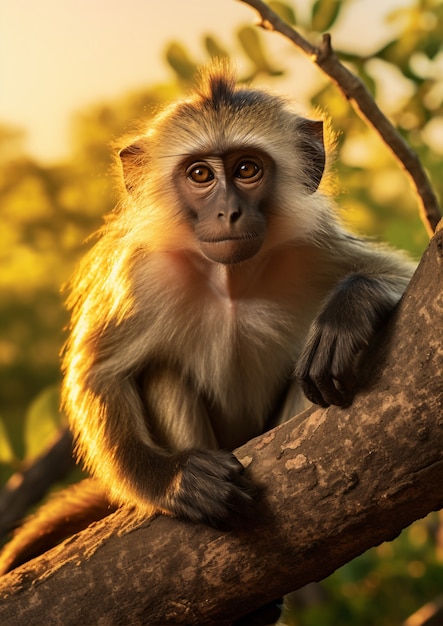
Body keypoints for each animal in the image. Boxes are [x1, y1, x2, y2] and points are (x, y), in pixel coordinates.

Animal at [0, 61, 416, 572]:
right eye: (200, 174)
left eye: (247, 169)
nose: (228, 212)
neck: (231, 280)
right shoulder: (144, 275)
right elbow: (96, 375)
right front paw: (173, 479)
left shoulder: (311, 249)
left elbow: (404, 275)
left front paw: (348, 310)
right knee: (160, 371)